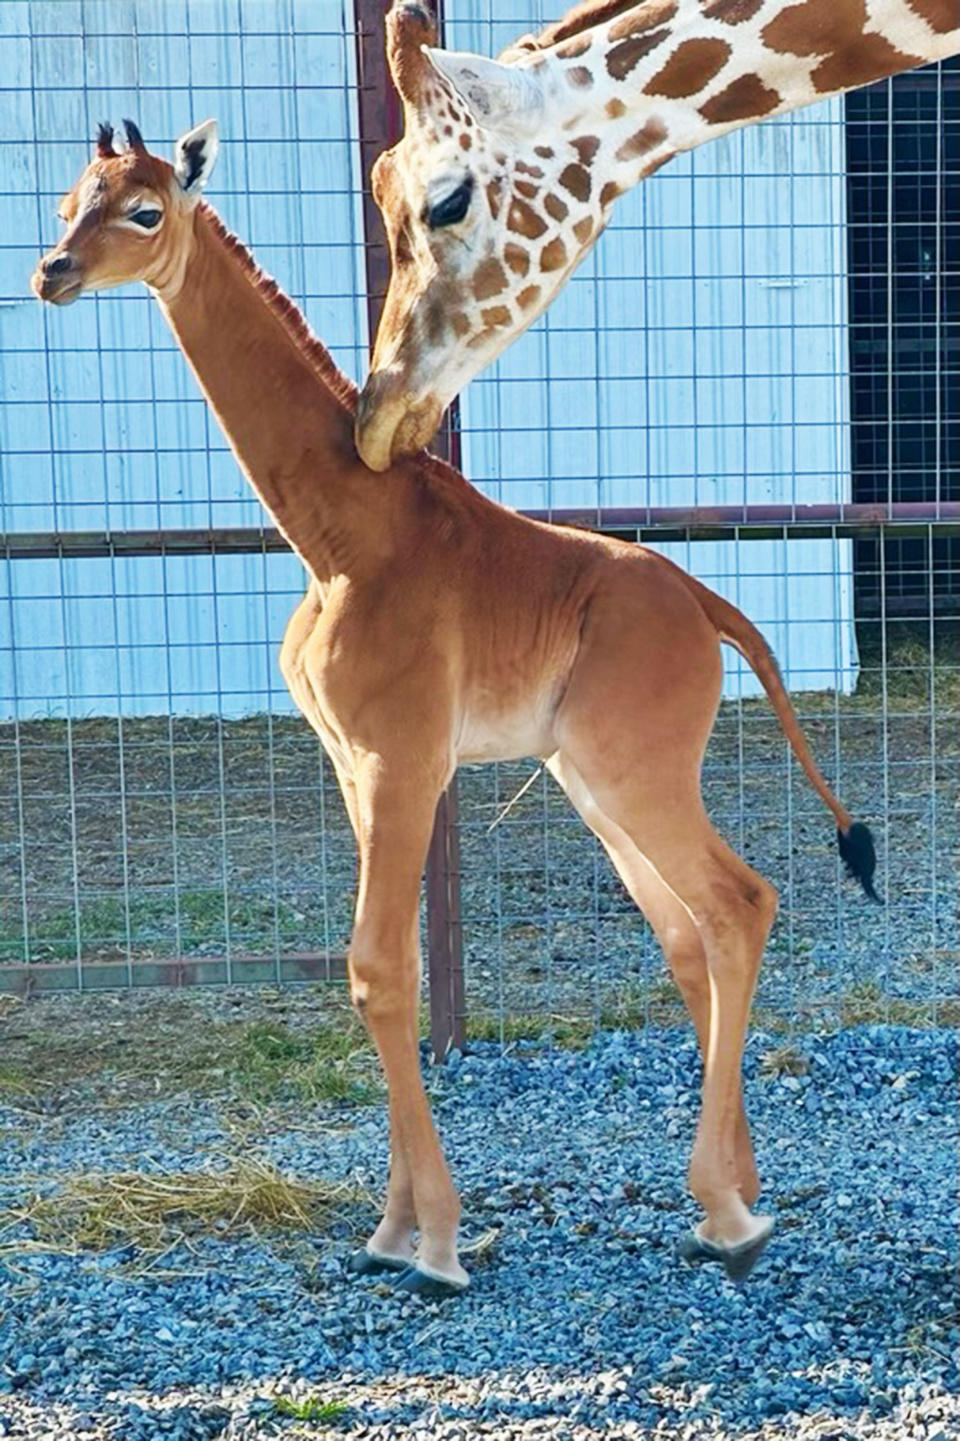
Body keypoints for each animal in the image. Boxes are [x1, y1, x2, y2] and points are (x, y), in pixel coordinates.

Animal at [31, 123, 876, 1296]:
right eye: (69, 199)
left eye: (145, 210)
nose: (51, 273)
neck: (339, 535)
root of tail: (709, 606)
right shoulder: (354, 764)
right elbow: (388, 970)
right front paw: (392, 1229)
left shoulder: (404, 758)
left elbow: (379, 969)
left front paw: (432, 1241)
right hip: (591, 780)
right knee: (688, 929)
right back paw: (740, 1194)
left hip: (635, 769)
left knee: (739, 902)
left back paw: (727, 1216)